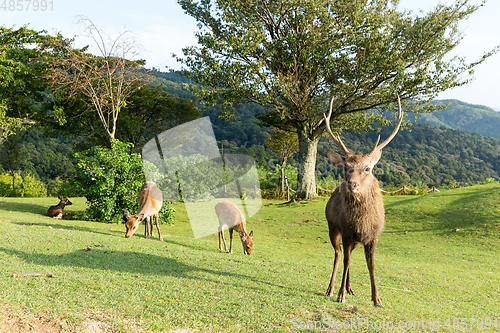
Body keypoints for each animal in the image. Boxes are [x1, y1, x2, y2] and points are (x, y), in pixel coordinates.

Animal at [322, 95, 404, 306]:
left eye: (367, 168)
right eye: (345, 167)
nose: (352, 184)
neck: (362, 221)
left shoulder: (373, 235)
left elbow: (371, 265)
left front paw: (377, 299)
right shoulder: (347, 231)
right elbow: (346, 261)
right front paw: (340, 295)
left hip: (355, 239)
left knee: (347, 254)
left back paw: (350, 288)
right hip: (332, 227)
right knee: (338, 254)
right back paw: (331, 289)